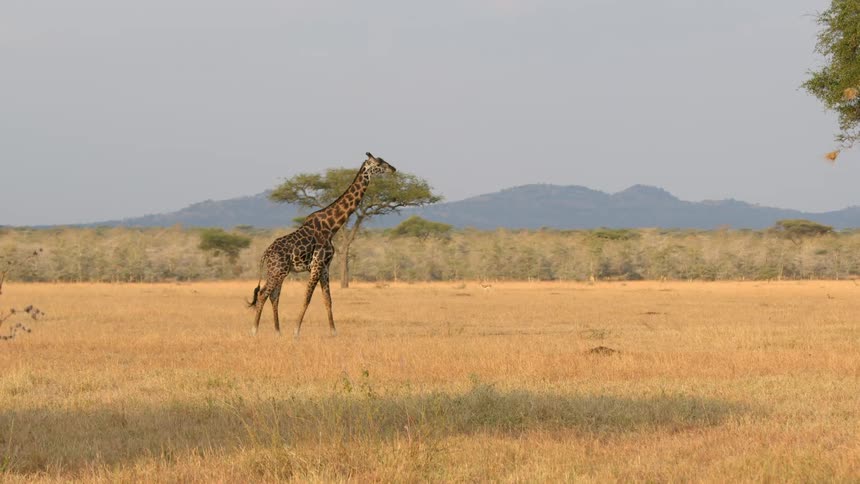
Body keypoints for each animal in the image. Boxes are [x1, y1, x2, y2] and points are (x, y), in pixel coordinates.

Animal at [248, 152, 396, 337]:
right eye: (379, 163)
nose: (393, 169)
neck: (331, 227)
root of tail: (265, 254)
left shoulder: (325, 267)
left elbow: (328, 300)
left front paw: (334, 332)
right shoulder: (317, 264)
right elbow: (307, 298)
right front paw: (296, 332)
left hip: (279, 271)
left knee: (273, 296)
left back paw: (277, 332)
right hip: (278, 270)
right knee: (263, 294)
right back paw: (254, 331)